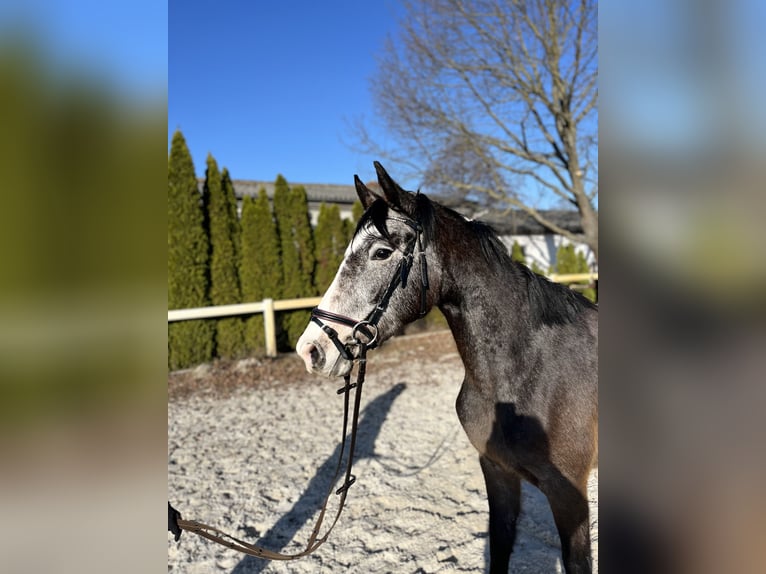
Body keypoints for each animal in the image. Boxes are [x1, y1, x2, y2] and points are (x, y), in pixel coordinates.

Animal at [296, 162, 598, 574]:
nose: (311, 349)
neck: (526, 372)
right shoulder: (497, 473)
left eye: (381, 252)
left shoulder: (570, 496)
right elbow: (499, 547)